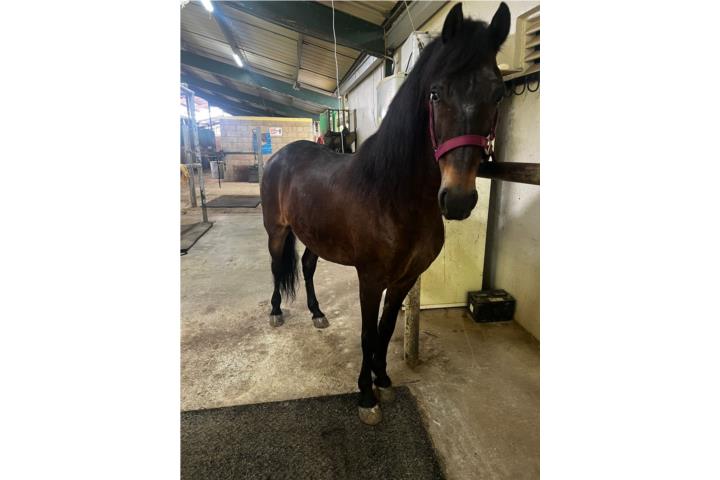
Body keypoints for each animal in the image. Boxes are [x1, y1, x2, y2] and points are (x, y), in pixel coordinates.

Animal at [260, 2, 511, 425]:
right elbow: (366, 333)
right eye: (435, 93)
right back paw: (277, 311)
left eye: (497, 93)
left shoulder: (405, 278)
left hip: (314, 235)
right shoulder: (371, 279)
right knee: (278, 267)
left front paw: (384, 380)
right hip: (277, 231)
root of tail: (282, 154)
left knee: (307, 267)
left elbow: (386, 326)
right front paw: (366, 395)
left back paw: (317, 313)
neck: (392, 197)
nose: (458, 200)